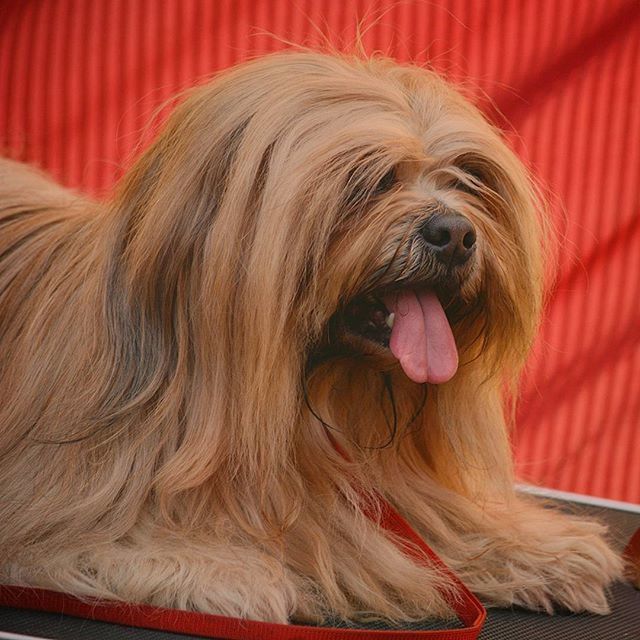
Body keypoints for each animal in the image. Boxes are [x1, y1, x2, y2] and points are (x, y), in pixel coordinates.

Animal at [0, 52, 624, 624]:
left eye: (470, 178)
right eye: (369, 180)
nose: (455, 234)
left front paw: (541, 550)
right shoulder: (54, 509)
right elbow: (99, 546)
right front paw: (218, 571)